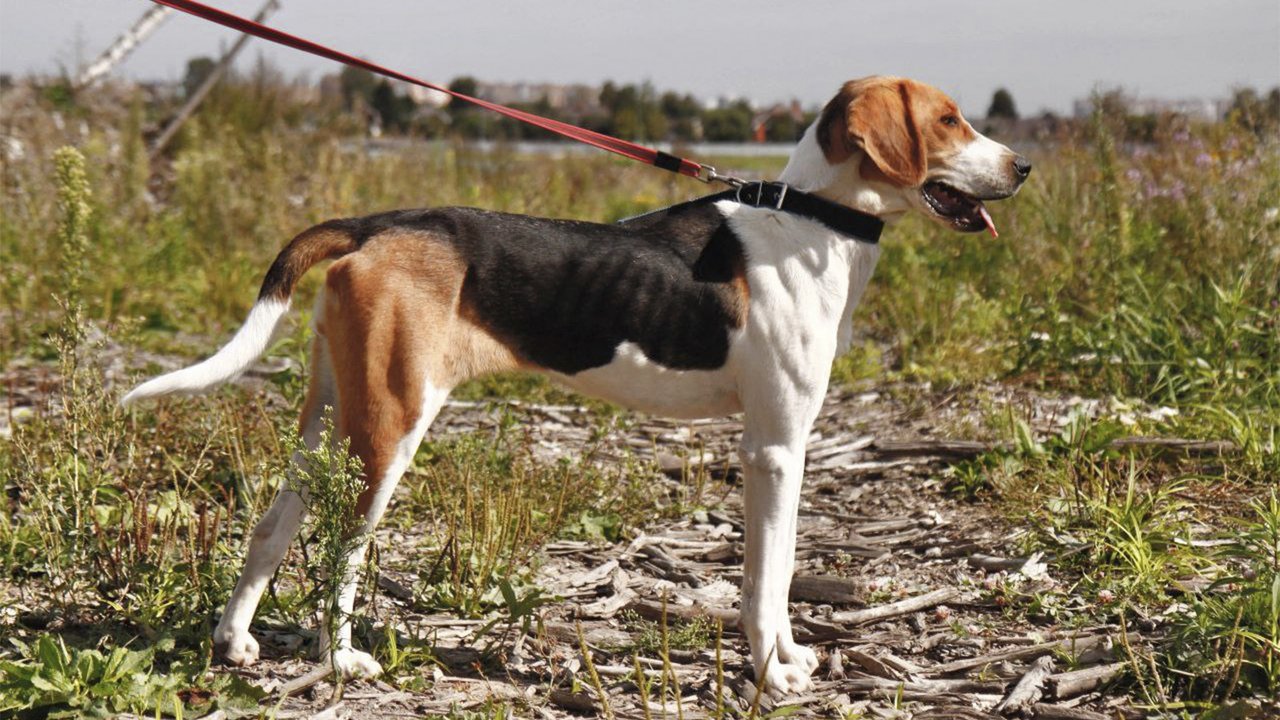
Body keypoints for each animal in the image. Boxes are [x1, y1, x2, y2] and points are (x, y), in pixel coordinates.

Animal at [124, 75, 1029, 691]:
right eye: (948, 121)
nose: (1023, 166)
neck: (810, 220)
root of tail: (376, 224)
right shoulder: (776, 449)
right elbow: (766, 579)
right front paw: (773, 674)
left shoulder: (783, 448)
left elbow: (774, 577)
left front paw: (791, 660)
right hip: (389, 428)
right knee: (344, 551)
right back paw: (342, 658)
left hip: (329, 419)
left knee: (270, 527)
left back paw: (235, 643)